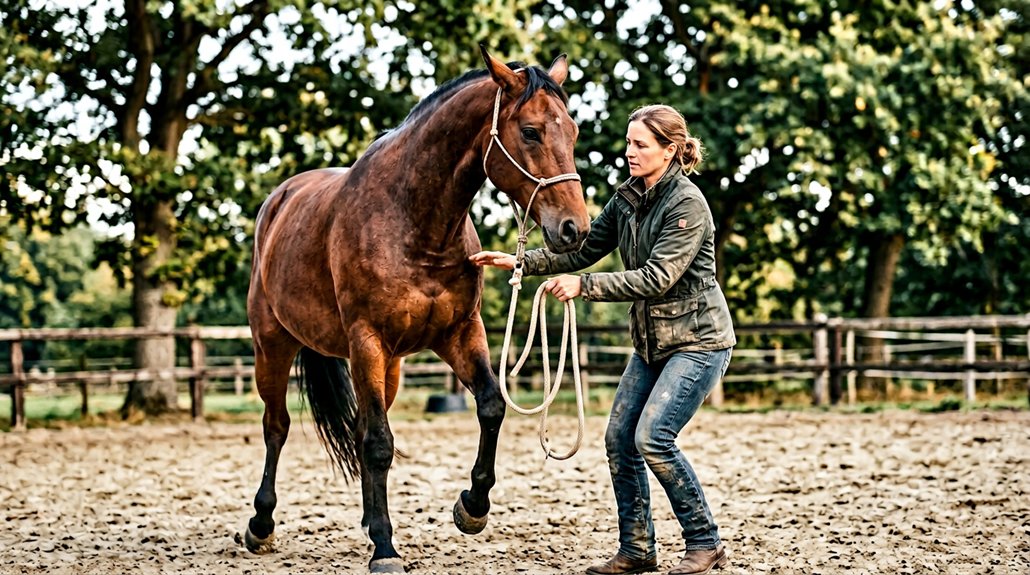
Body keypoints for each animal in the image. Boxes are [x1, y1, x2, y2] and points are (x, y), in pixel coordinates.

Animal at [243, 46, 591, 574]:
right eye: (531, 131)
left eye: (571, 131)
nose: (576, 228)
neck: (413, 220)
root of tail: (277, 202)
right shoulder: (367, 341)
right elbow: (379, 444)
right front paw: (386, 549)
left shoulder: (459, 333)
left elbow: (490, 406)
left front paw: (472, 507)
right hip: (274, 346)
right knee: (277, 426)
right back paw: (261, 525)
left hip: (389, 365)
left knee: (361, 426)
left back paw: (368, 521)